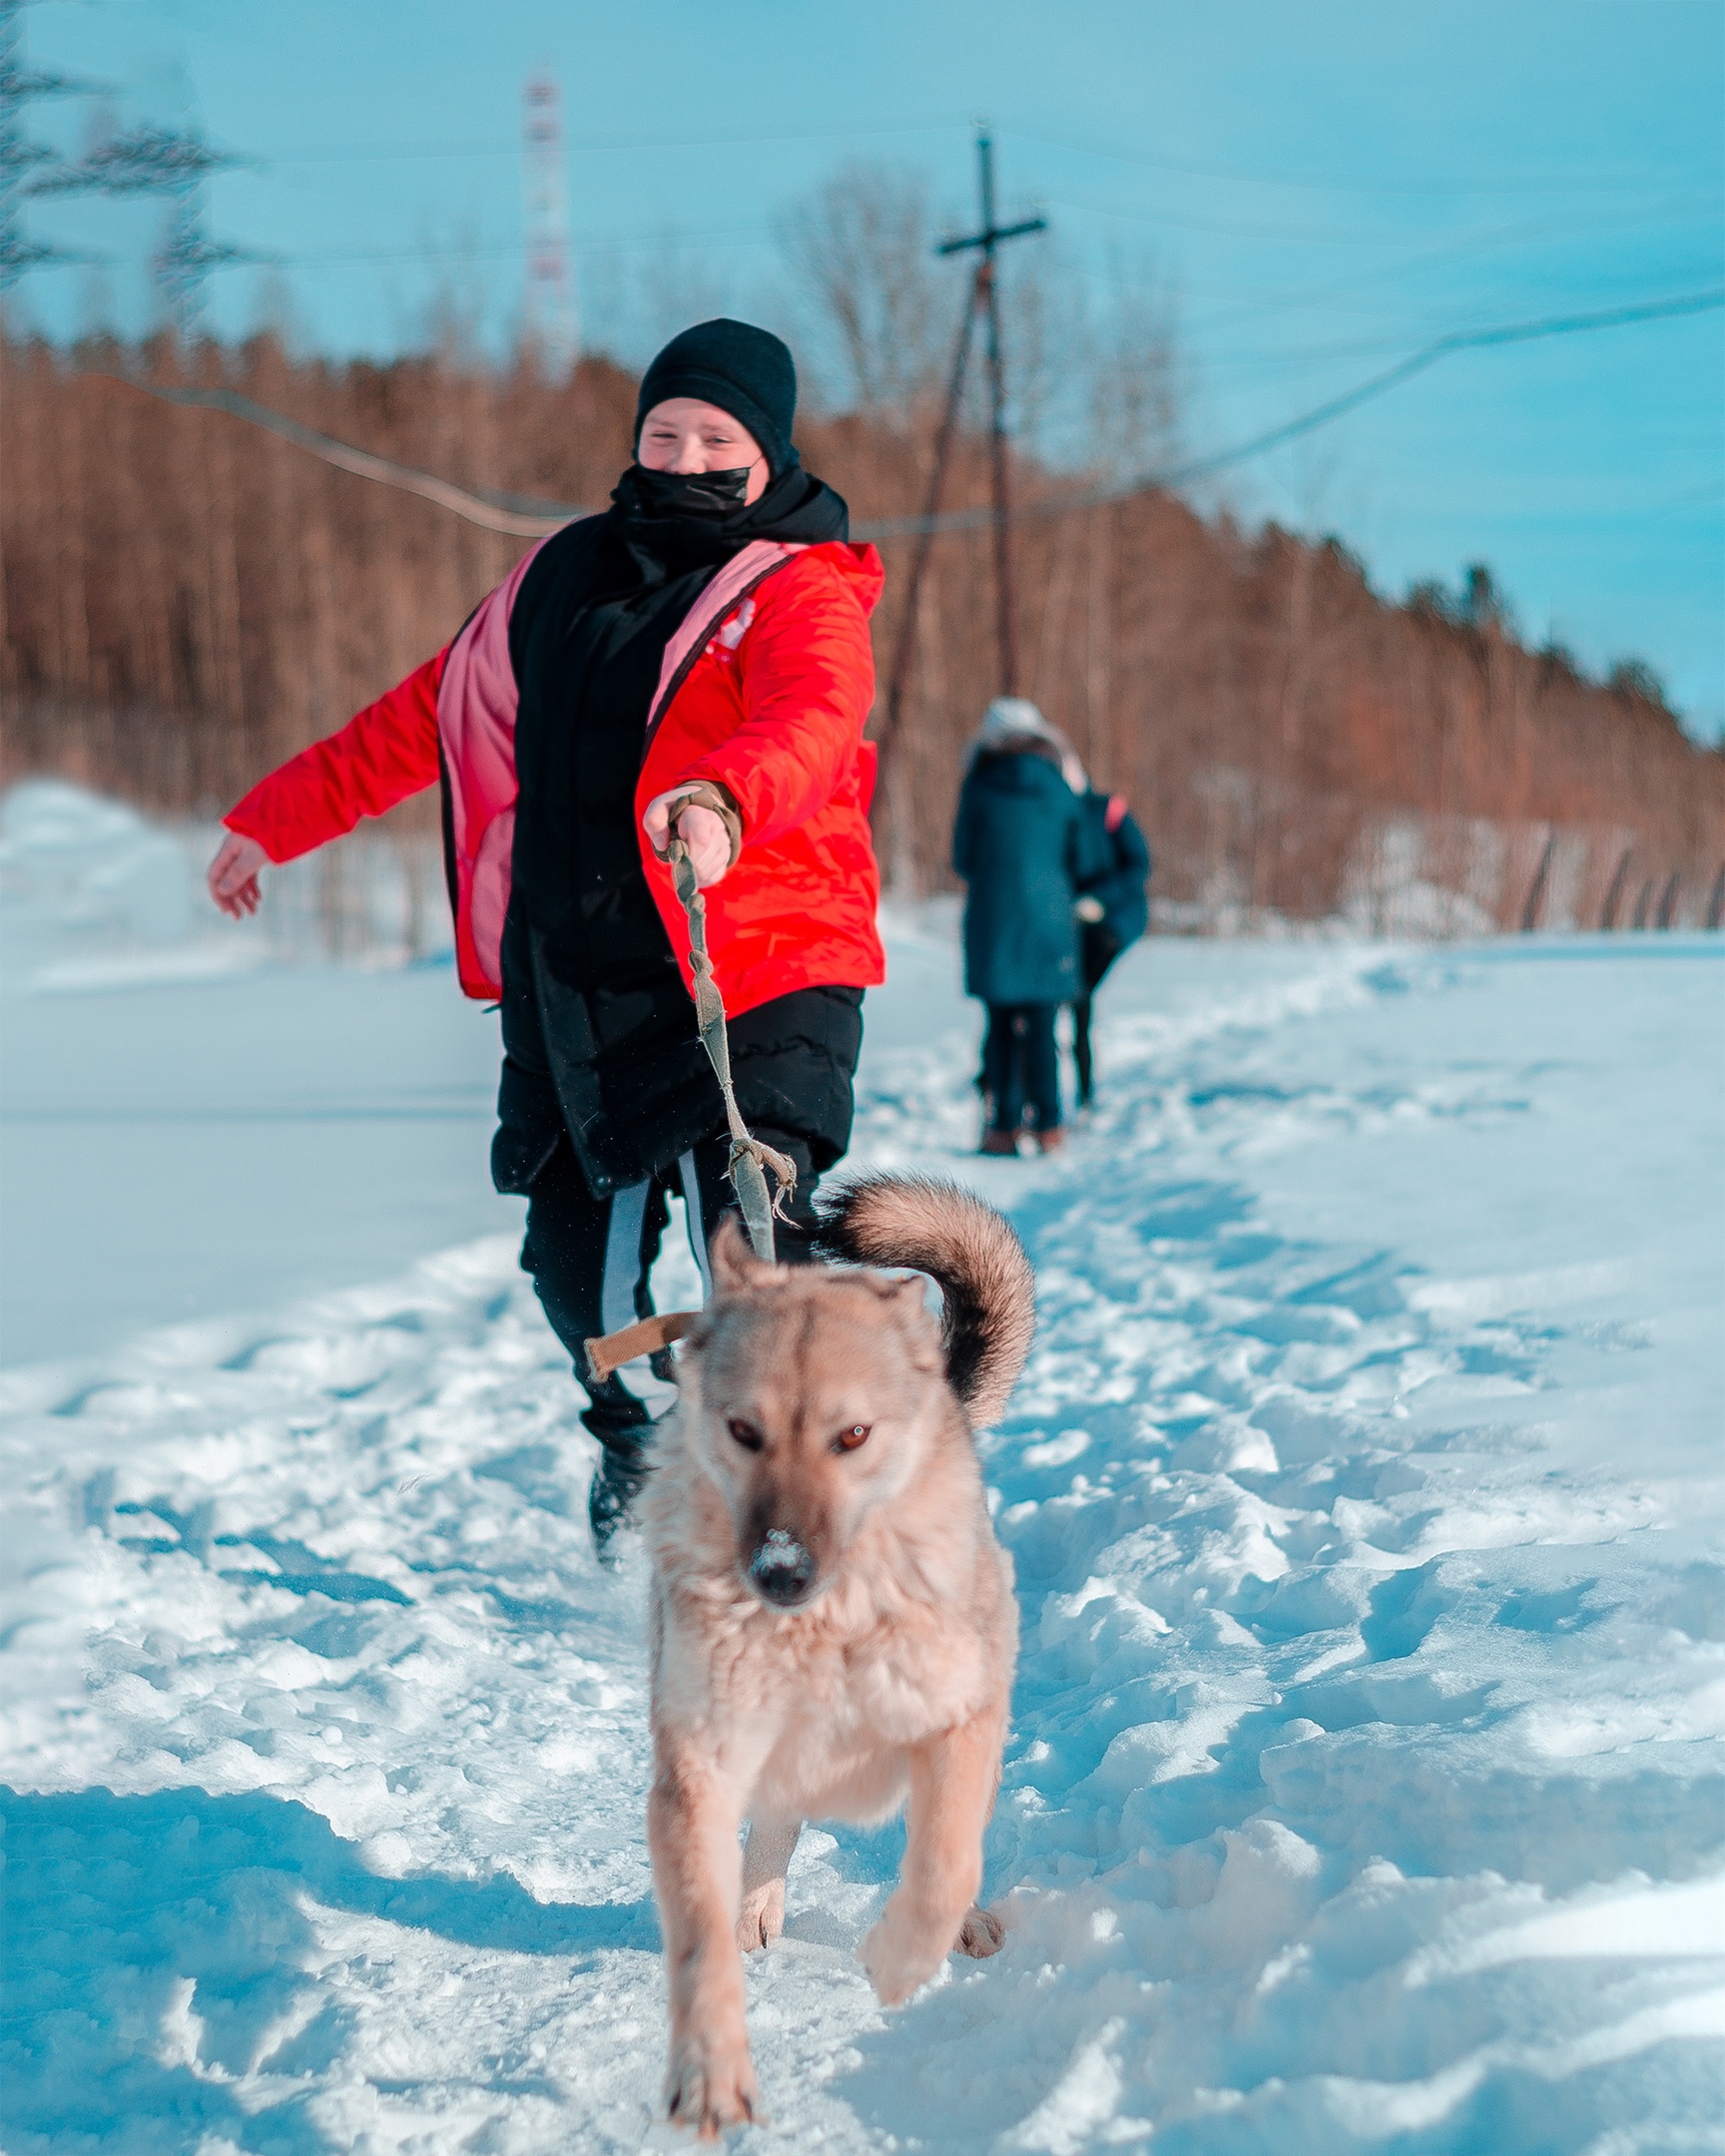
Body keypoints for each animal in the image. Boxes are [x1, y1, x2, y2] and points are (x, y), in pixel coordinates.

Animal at [638, 1181, 1030, 2138]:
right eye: (744, 1430)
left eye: (852, 1435)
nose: (781, 1571)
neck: (825, 1627)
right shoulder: (699, 1765)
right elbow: (698, 1939)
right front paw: (709, 2073)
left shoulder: (959, 1718)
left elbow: (944, 1861)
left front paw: (900, 1962)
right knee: (772, 1831)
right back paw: (757, 1910)